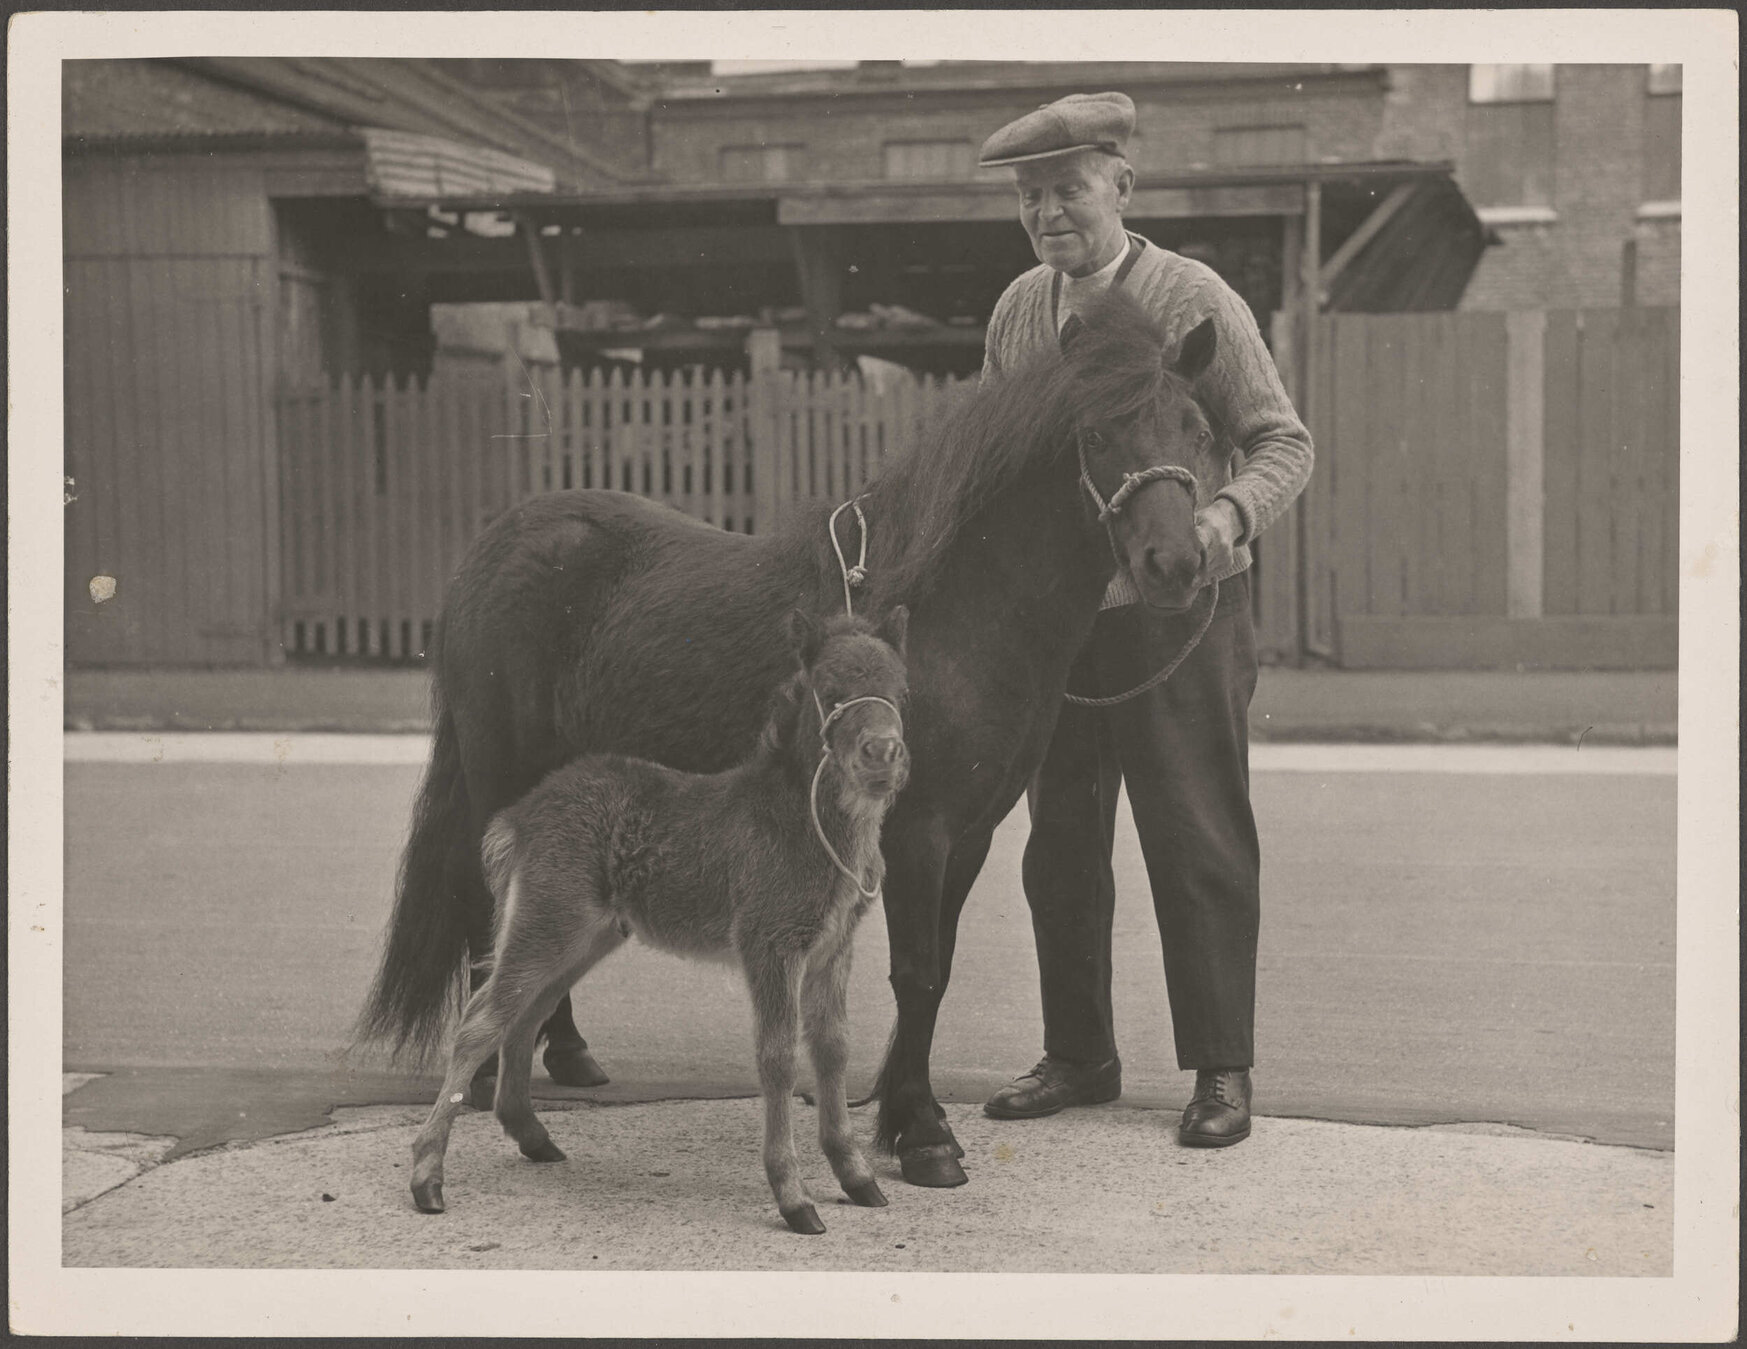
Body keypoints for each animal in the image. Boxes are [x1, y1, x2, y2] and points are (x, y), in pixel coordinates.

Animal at [409, 608, 911, 1234]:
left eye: (902, 692)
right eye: (830, 693)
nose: (882, 754)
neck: (805, 823)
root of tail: (518, 817)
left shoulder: (833, 945)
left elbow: (833, 1045)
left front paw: (857, 1175)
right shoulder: (768, 942)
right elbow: (776, 1057)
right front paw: (794, 1197)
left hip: (587, 934)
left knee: (527, 1014)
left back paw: (533, 1137)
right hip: (548, 916)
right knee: (482, 1019)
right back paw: (427, 1176)